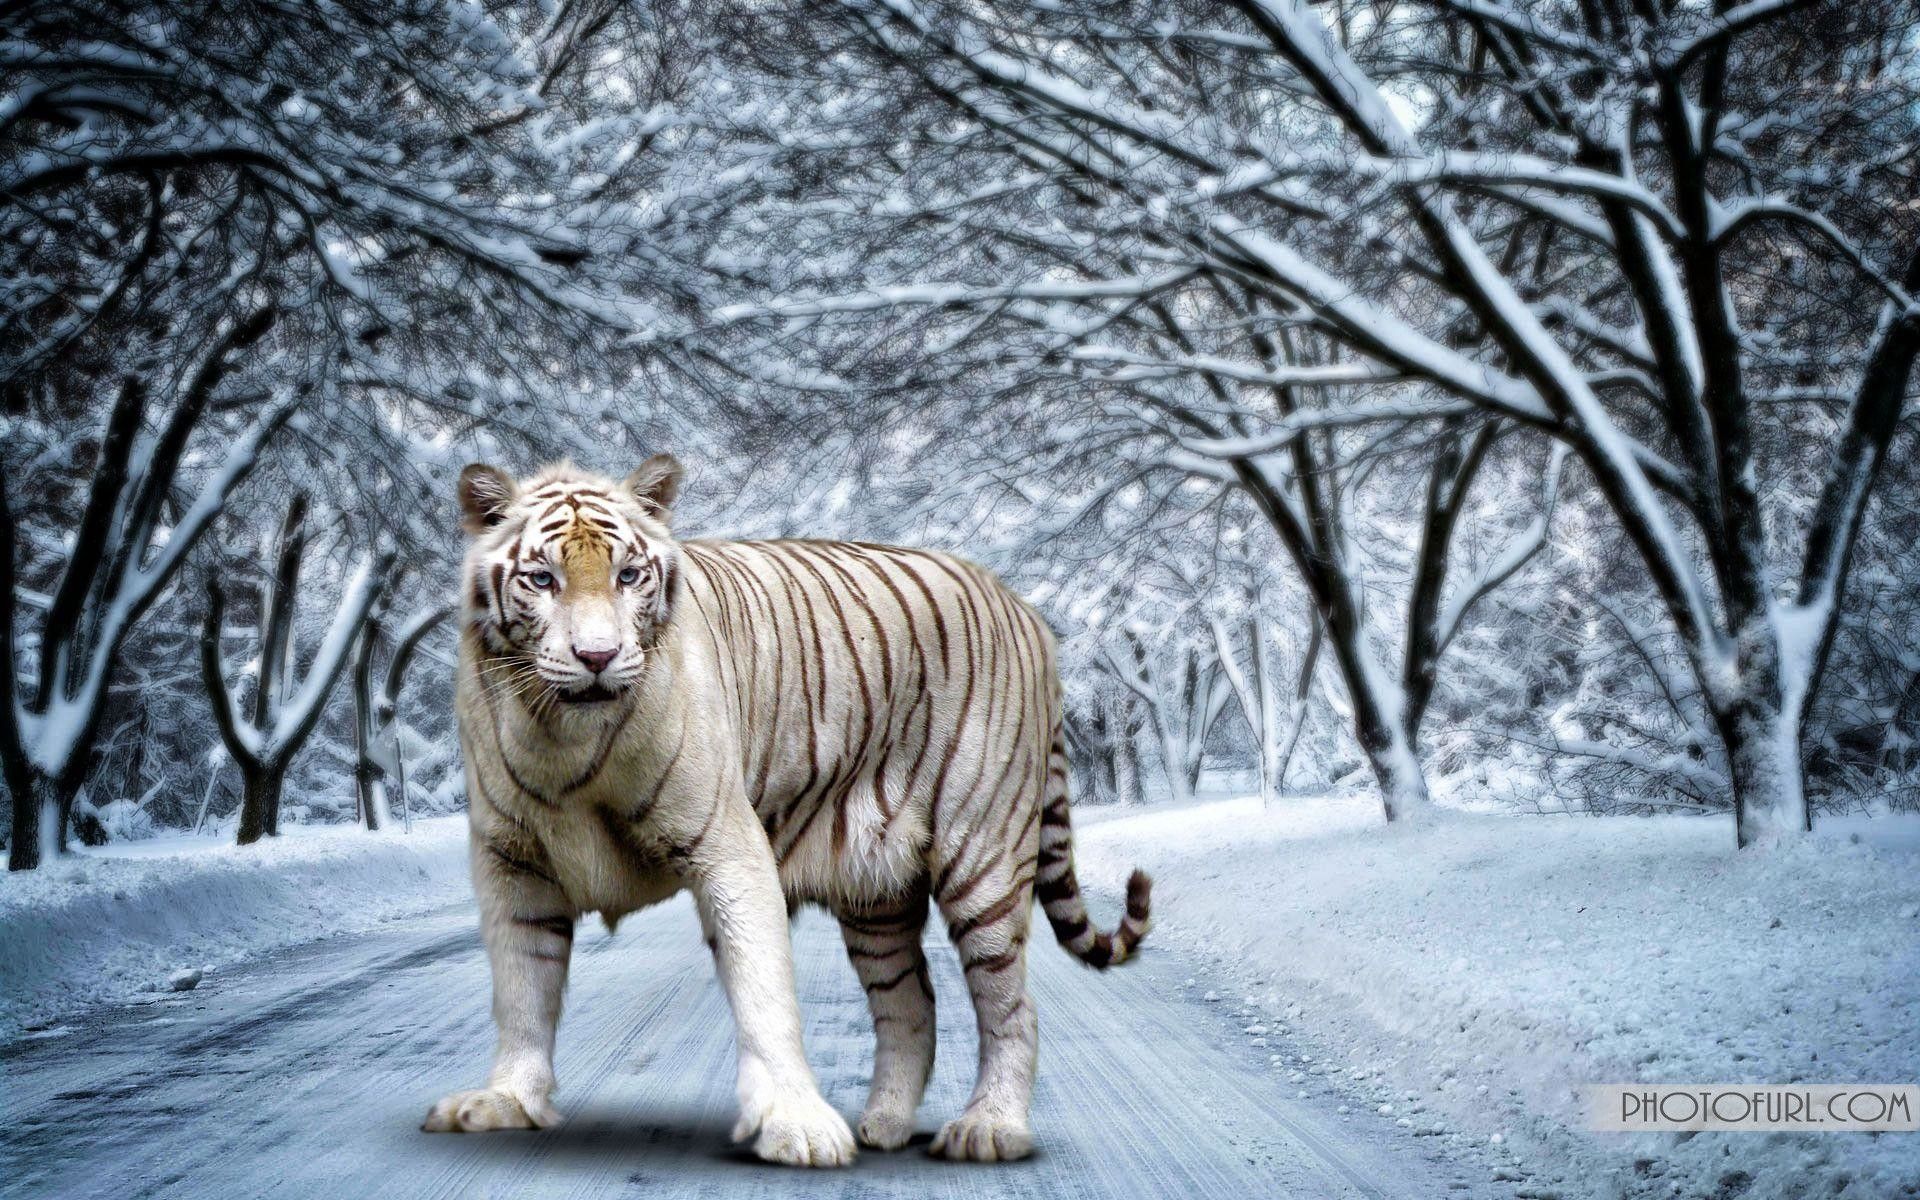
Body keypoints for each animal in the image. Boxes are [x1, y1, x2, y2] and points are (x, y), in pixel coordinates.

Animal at [421, 457, 1151, 1167]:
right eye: (543, 579)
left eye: (628, 575)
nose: (597, 657)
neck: (563, 739)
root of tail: (1023, 605)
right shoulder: (512, 862)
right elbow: (523, 990)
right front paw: (506, 1099)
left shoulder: (727, 845)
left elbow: (763, 991)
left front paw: (797, 1127)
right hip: (876, 893)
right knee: (911, 1003)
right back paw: (884, 1125)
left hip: (984, 857)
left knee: (1012, 1006)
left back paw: (990, 1129)